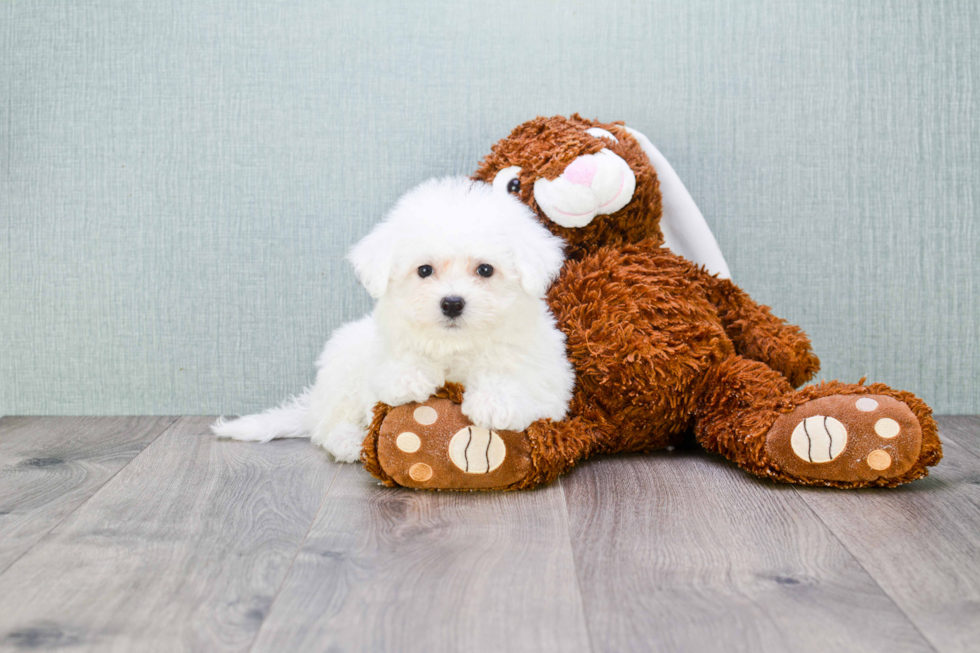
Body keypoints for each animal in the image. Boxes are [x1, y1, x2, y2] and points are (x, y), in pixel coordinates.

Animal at [212, 176, 576, 460]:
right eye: (424, 270)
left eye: (485, 270)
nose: (452, 303)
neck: (456, 344)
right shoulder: (383, 353)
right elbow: (396, 363)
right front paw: (408, 377)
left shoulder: (548, 380)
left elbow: (515, 374)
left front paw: (496, 401)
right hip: (343, 369)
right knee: (328, 426)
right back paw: (350, 442)